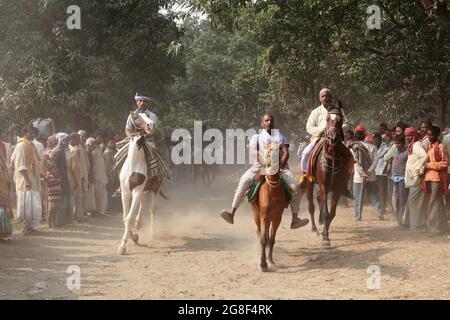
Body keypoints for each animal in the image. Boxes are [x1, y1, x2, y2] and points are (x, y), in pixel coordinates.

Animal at [118, 114, 163, 254]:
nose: (151, 125)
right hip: (144, 190)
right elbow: (125, 217)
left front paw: (123, 246)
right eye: (137, 116)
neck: (134, 164)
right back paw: (139, 223)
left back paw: (151, 233)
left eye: (148, 115)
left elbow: (128, 218)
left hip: (155, 188)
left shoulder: (137, 190)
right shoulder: (126, 192)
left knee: (152, 209)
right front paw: (133, 236)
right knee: (142, 203)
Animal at [251, 142, 286, 270]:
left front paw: (270, 260)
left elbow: (271, 239)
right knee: (259, 232)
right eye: (268, 151)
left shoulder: (277, 218)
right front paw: (263, 263)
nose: (272, 163)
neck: (272, 191)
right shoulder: (263, 217)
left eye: (279, 151)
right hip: (256, 214)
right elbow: (263, 240)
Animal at [304, 109, 354, 246]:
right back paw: (314, 229)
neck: (333, 158)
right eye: (327, 119)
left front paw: (325, 233)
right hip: (310, 184)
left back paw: (320, 222)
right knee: (311, 205)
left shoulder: (337, 188)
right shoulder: (323, 185)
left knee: (318, 198)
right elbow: (326, 212)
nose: (332, 138)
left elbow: (332, 213)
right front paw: (325, 237)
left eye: (340, 120)